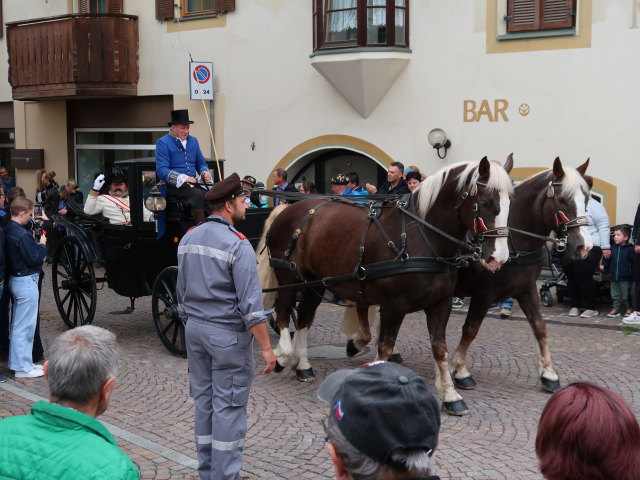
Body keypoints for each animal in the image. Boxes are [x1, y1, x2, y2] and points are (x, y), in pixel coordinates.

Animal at [258, 158, 512, 412]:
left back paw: (303, 366)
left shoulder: (441, 303)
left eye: (510, 202)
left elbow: (440, 348)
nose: (498, 258)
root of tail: (288, 208)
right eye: (485, 203)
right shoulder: (393, 305)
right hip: (289, 277)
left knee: (304, 317)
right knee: (282, 311)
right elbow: (385, 348)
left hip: (316, 282)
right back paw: (282, 355)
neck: (421, 237)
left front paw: (450, 395)